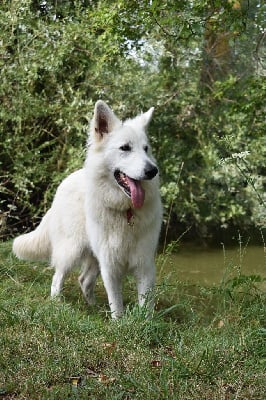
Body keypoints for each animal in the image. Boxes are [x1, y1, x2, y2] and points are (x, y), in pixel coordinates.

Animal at [13, 101, 162, 318]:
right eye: (125, 148)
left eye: (146, 149)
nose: (152, 170)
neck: (126, 211)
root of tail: (64, 182)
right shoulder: (110, 266)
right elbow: (116, 304)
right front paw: (120, 322)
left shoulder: (145, 265)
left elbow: (146, 305)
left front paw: (144, 323)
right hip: (72, 250)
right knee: (57, 278)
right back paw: (58, 305)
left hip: (93, 257)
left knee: (84, 281)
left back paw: (93, 307)